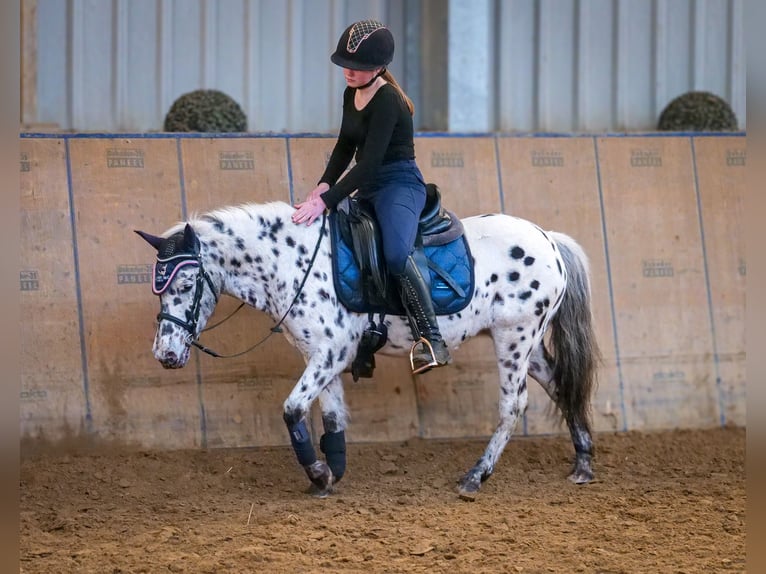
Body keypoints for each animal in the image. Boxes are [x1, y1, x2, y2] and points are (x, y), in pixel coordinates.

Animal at [140, 201, 608, 500]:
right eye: (157, 289)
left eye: (186, 284)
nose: (165, 355)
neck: (292, 262)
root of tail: (548, 239)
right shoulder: (321, 356)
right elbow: (330, 416)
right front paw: (329, 475)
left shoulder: (330, 352)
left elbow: (292, 410)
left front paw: (318, 472)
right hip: (529, 344)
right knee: (561, 386)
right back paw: (583, 466)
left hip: (515, 336)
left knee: (514, 405)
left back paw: (475, 477)